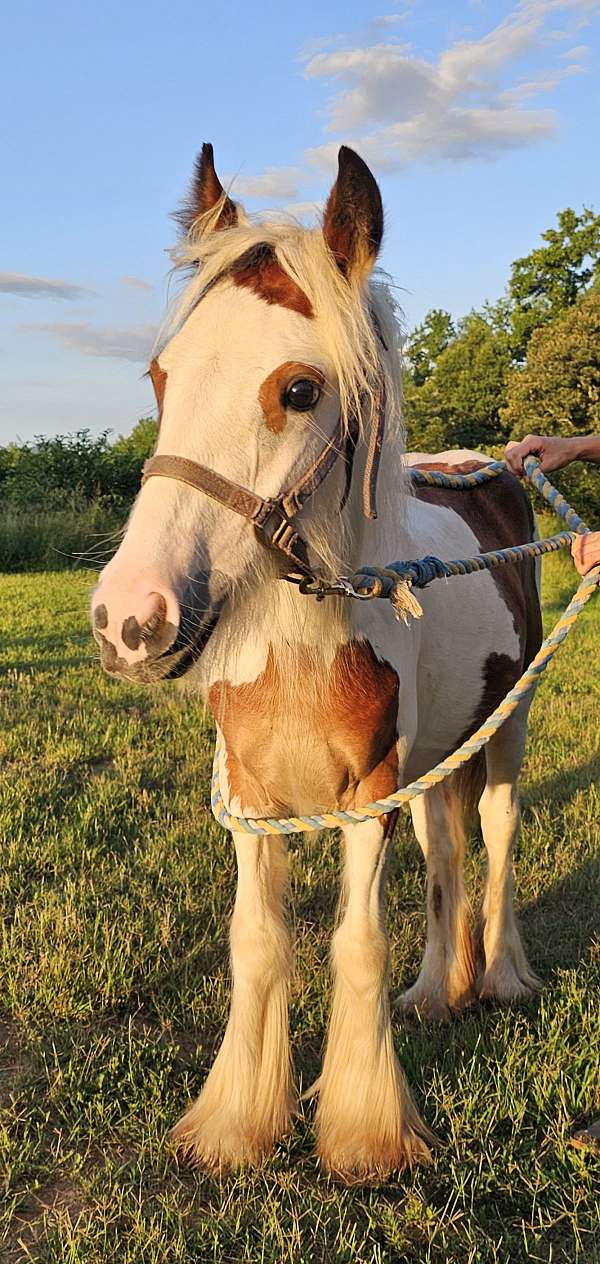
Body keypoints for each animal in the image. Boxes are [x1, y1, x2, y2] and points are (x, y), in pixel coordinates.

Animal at [91, 143, 542, 1181]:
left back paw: (499, 977)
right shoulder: (254, 797)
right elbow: (257, 944)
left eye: (299, 390)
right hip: (434, 758)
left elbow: (355, 945)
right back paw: (438, 991)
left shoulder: (365, 796)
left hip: (504, 728)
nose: (131, 617)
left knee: (495, 833)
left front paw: (365, 1134)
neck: (298, 650)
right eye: (161, 376)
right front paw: (236, 1125)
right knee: (447, 849)